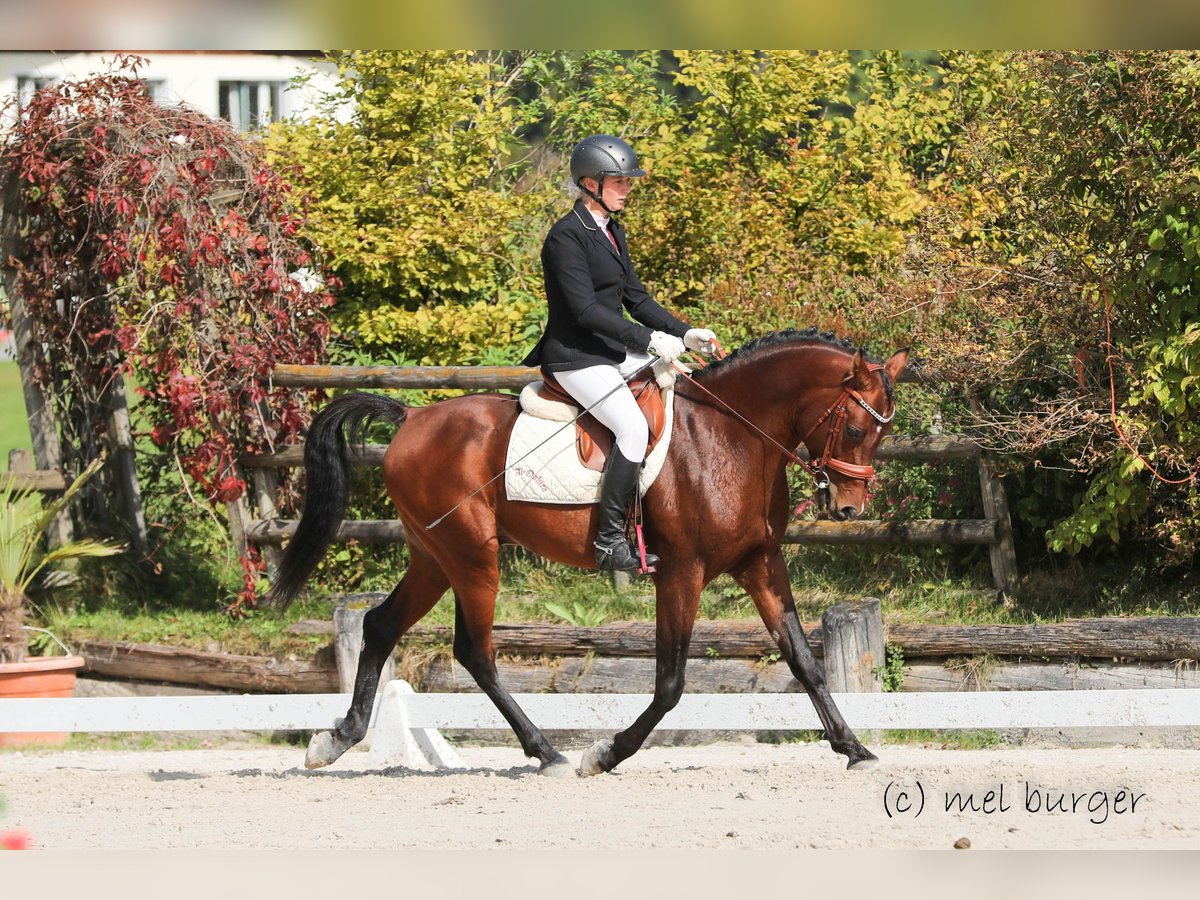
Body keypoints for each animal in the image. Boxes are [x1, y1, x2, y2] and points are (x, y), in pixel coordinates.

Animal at [270, 328, 907, 777]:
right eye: (855, 430)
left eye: (881, 432)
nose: (849, 508)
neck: (731, 437)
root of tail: (412, 417)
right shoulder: (682, 573)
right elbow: (671, 683)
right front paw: (604, 753)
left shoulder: (761, 564)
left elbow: (804, 661)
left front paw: (854, 749)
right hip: (473, 558)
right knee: (475, 651)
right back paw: (547, 752)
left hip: (433, 557)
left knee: (380, 626)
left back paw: (337, 739)